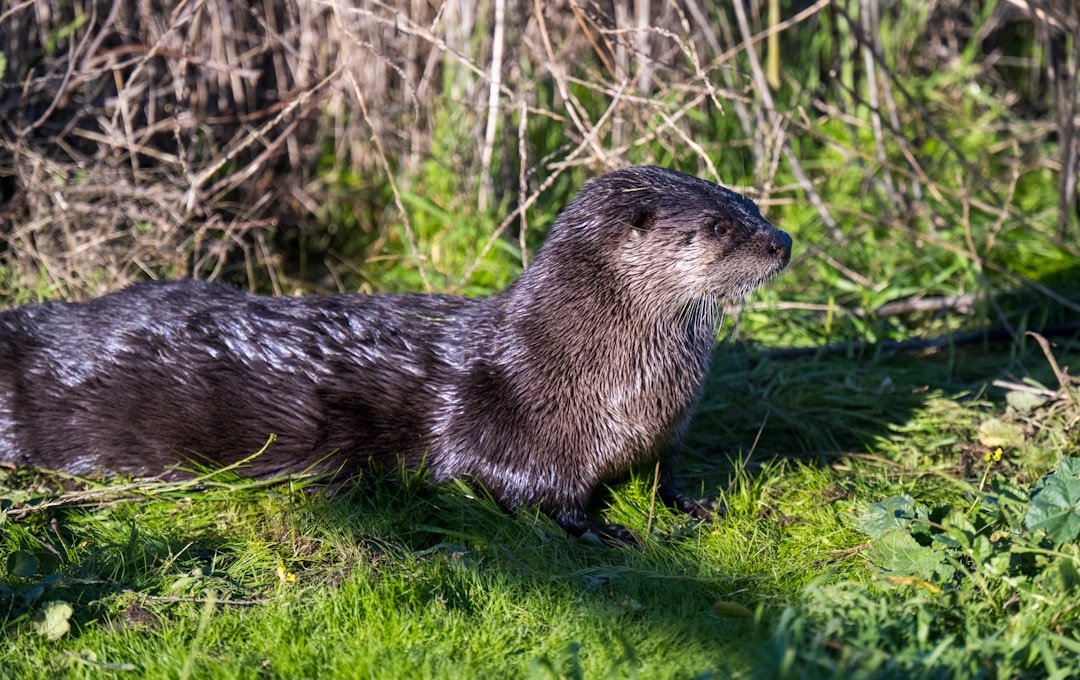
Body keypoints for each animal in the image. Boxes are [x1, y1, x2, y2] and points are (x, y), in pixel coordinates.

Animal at [0, 166, 791, 540]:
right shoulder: (509, 429)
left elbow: (665, 474)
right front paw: (602, 529)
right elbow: (518, 489)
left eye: (751, 203)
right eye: (720, 227)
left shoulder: (664, 433)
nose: (782, 241)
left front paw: (697, 504)